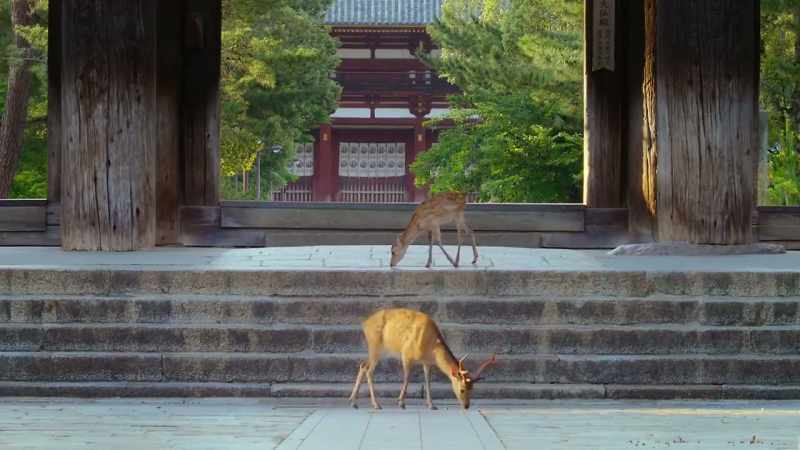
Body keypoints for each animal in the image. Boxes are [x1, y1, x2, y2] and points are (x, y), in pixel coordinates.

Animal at [348, 308, 497, 410]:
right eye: (462, 389)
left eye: (473, 389)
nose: (466, 406)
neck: (432, 347)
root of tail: (364, 324)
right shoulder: (406, 354)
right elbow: (407, 378)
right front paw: (401, 403)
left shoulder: (427, 362)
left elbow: (428, 381)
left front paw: (431, 405)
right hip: (375, 346)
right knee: (369, 370)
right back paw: (376, 404)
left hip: (380, 350)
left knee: (362, 365)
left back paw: (353, 402)